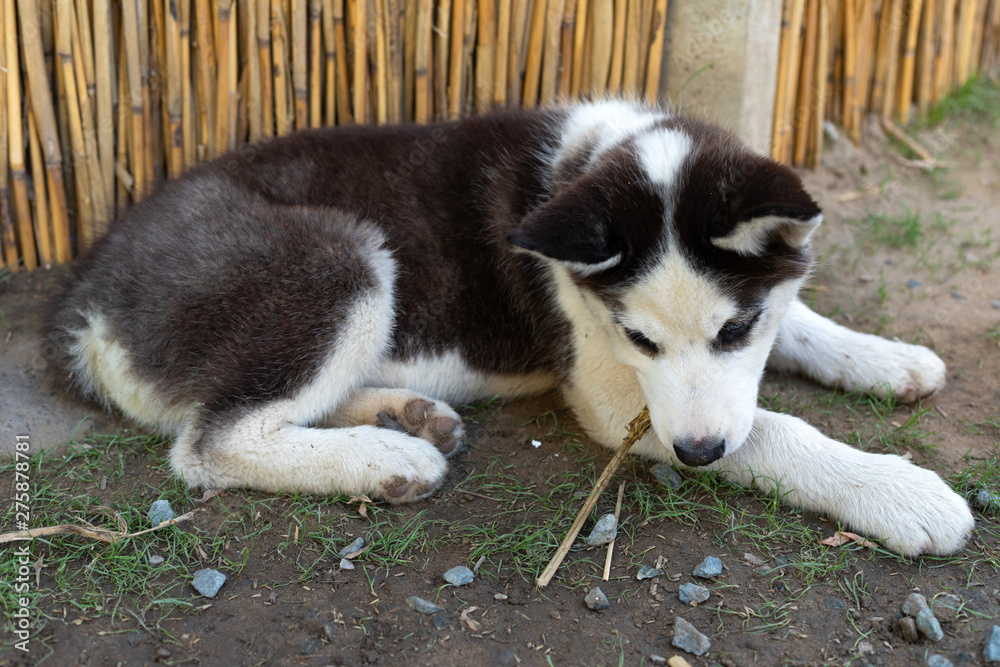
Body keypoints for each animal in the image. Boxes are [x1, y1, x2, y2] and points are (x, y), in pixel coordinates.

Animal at [43, 100, 972, 560]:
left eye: (737, 326)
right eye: (639, 341)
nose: (698, 453)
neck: (594, 158)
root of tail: (85, 293)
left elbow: (799, 321)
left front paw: (884, 356)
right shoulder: (615, 399)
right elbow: (774, 431)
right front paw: (900, 493)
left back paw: (407, 415)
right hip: (338, 256)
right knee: (208, 443)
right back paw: (388, 459)